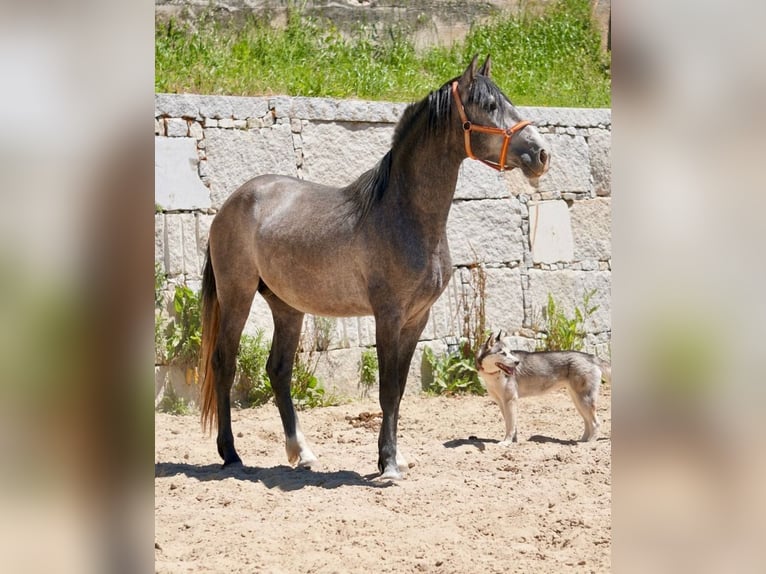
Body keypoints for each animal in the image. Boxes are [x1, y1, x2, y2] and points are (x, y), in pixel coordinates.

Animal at [198, 55, 544, 482]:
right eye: (491, 105)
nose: (541, 154)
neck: (404, 215)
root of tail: (233, 202)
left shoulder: (417, 318)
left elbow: (399, 389)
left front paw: (394, 457)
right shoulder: (388, 315)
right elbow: (387, 389)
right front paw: (389, 464)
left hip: (287, 306)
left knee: (278, 370)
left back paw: (302, 452)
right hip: (237, 296)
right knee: (224, 365)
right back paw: (230, 453)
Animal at [480, 332, 612, 446]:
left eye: (510, 352)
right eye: (503, 353)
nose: (517, 362)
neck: (494, 375)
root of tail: (591, 356)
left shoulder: (510, 400)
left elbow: (510, 425)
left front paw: (506, 442)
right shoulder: (502, 403)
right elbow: (511, 424)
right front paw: (514, 441)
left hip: (584, 401)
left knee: (595, 423)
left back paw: (590, 443)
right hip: (578, 401)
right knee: (587, 421)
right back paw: (582, 440)